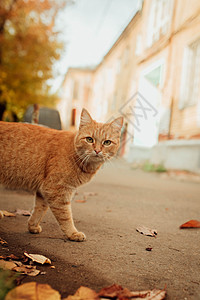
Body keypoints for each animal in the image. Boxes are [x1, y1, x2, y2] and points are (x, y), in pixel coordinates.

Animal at [0, 108, 122, 241]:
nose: (98, 150)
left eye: (107, 142)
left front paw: (33, 226)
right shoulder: (56, 189)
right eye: (89, 139)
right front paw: (73, 233)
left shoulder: (44, 190)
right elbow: (65, 215)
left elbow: (40, 209)